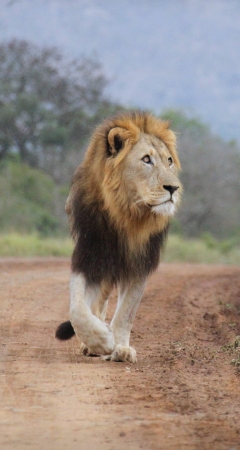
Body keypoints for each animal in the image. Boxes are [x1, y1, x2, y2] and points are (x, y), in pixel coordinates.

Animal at [54, 111, 182, 362]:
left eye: (169, 161)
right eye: (146, 160)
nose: (173, 188)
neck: (128, 214)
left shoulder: (139, 263)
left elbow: (126, 311)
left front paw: (121, 348)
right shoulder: (89, 257)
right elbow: (77, 309)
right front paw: (102, 340)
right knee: (97, 304)